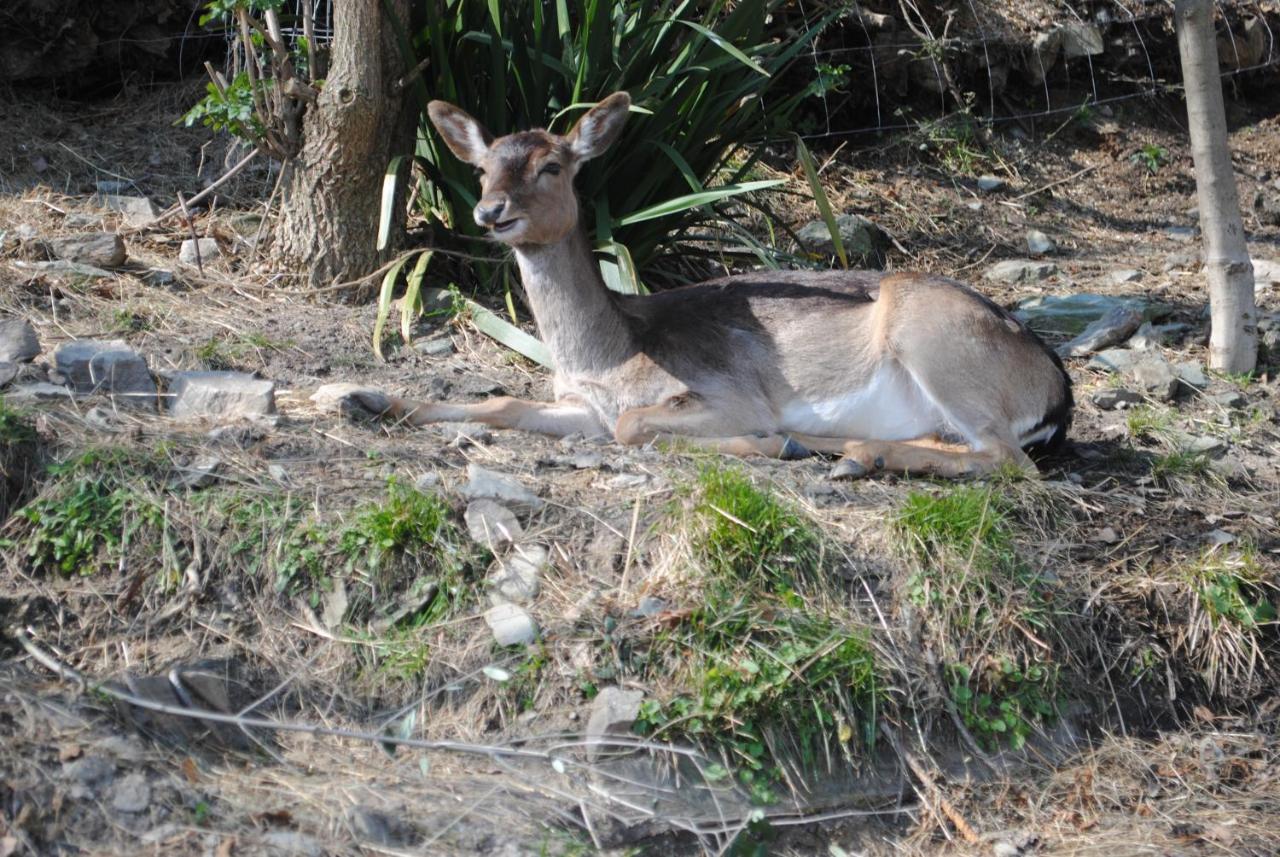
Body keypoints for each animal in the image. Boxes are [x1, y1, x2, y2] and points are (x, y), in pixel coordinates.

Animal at [314, 94, 1075, 483]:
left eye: (553, 165)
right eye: (483, 166)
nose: (489, 212)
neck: (608, 353)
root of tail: (1057, 390)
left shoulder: (725, 389)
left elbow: (634, 426)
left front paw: (774, 441)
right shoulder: (582, 406)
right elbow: (503, 402)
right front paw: (360, 397)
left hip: (936, 339)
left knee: (1008, 460)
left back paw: (845, 454)